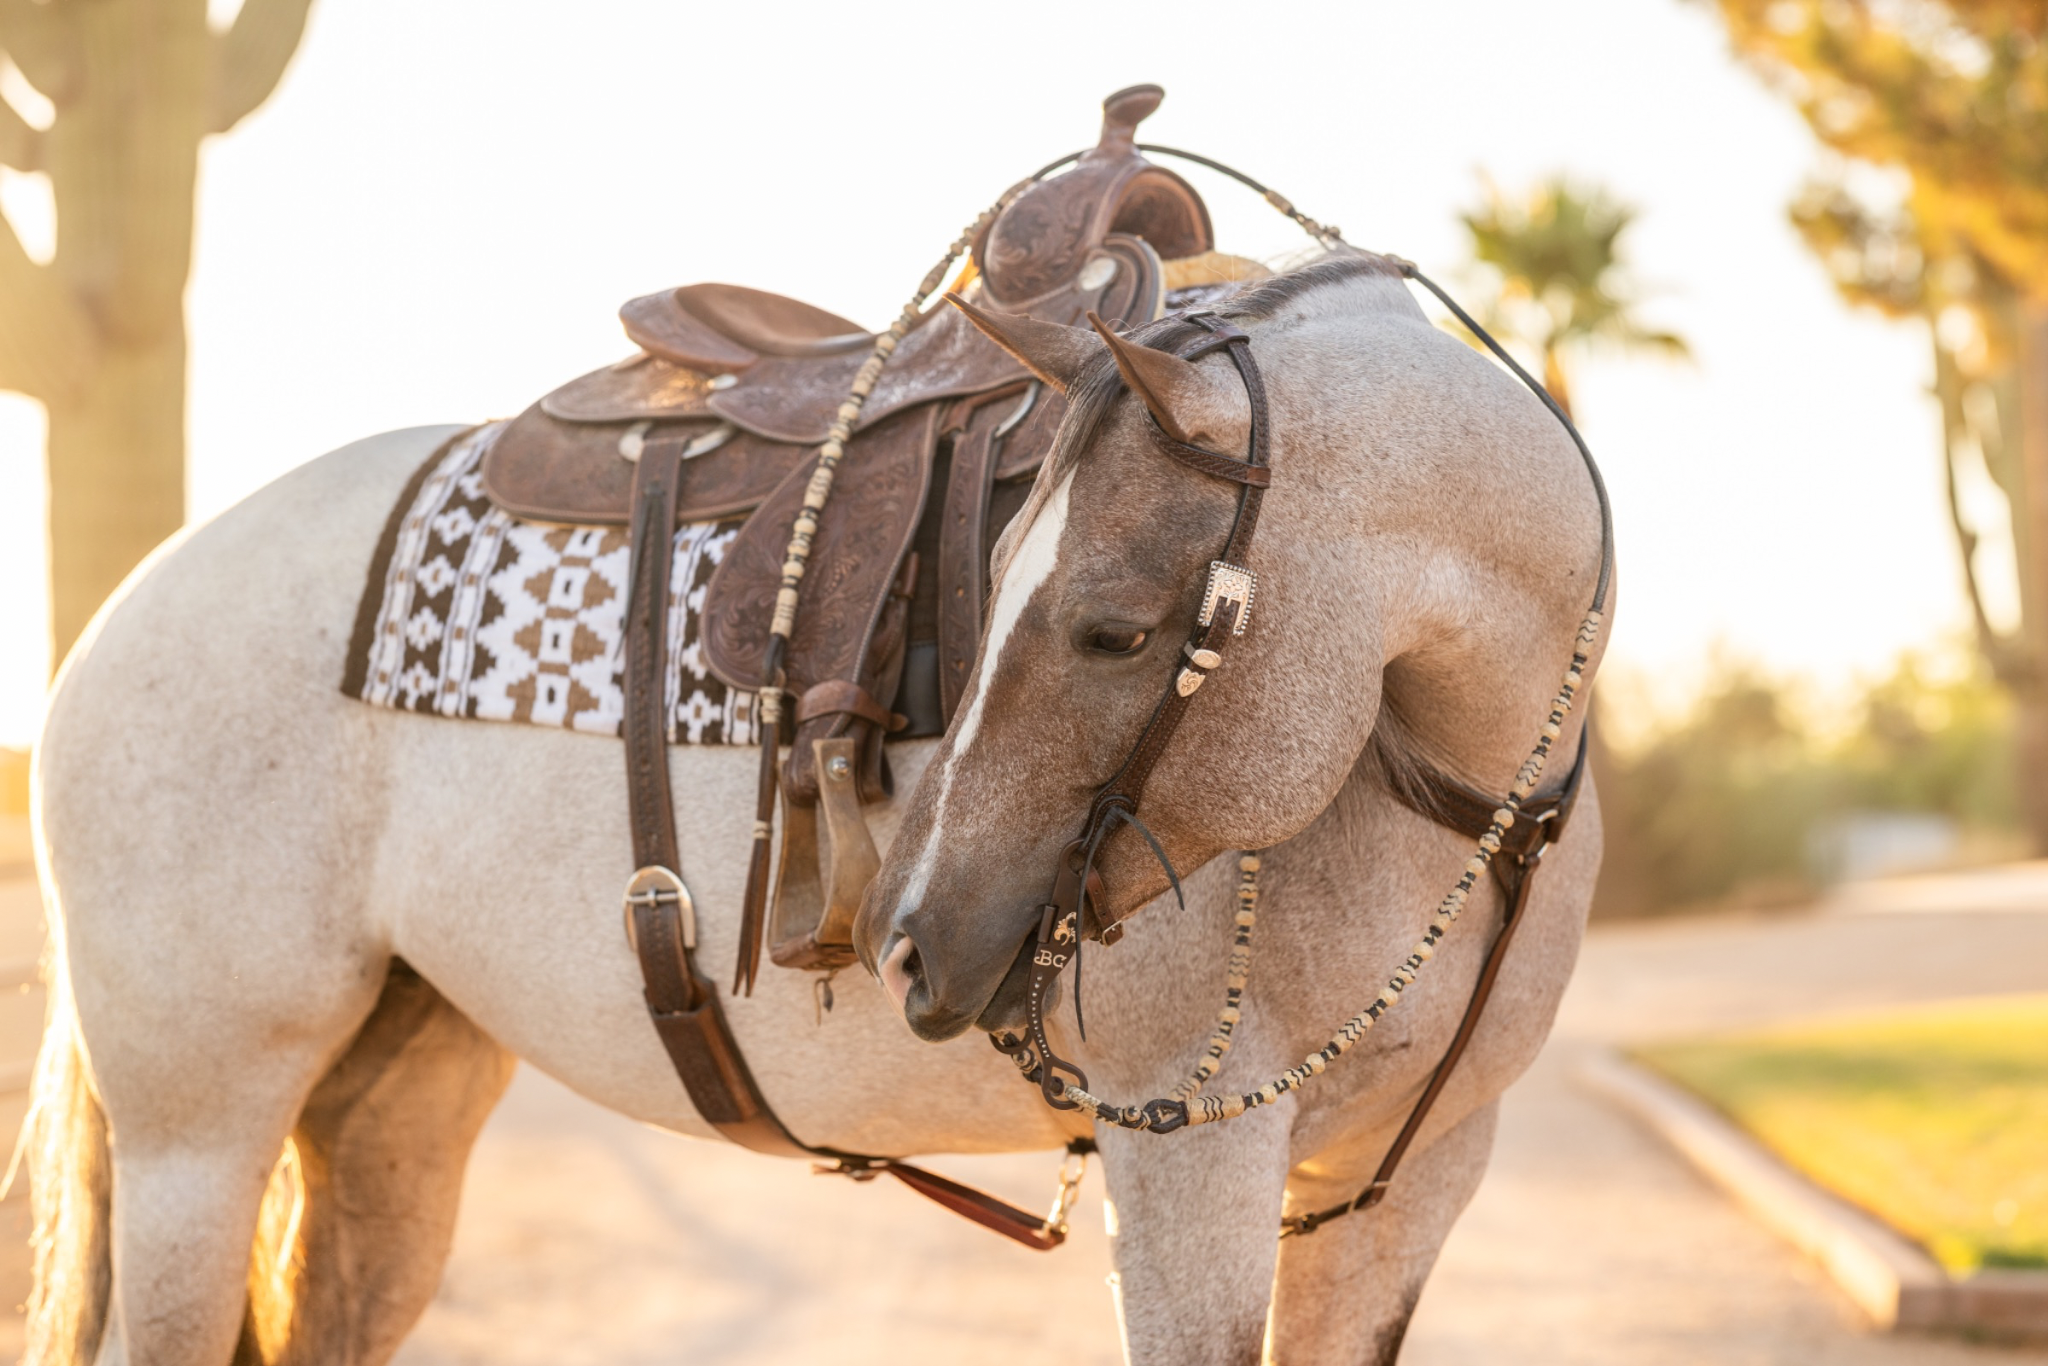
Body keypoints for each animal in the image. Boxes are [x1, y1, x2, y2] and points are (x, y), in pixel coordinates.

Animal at [24, 250, 1605, 1359]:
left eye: (1110, 630)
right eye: (1003, 578)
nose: (910, 937)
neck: (1448, 790)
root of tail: (117, 614)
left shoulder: (1406, 1180)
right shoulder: (1192, 1162)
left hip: (387, 1108)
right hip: (195, 1133)